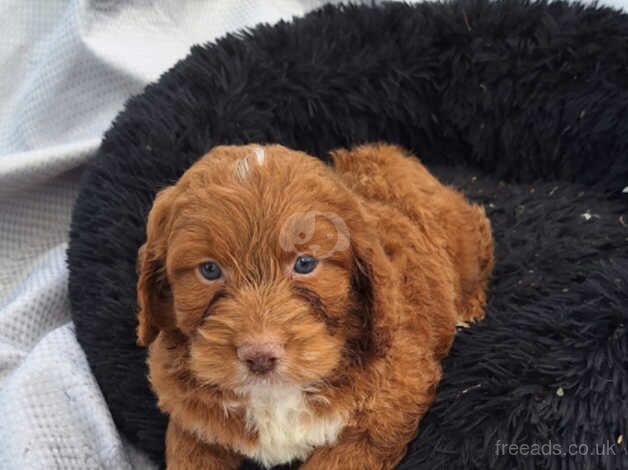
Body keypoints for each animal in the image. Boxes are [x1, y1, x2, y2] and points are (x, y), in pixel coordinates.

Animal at [137, 143, 496, 470]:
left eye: (305, 263)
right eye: (209, 270)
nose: (260, 356)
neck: (276, 395)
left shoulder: (389, 406)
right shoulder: (191, 422)